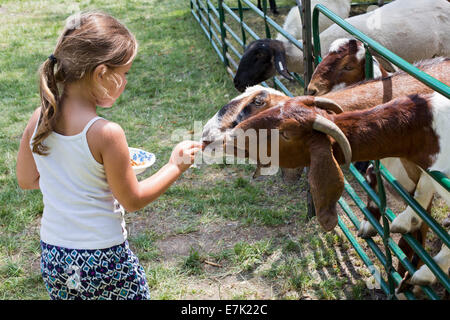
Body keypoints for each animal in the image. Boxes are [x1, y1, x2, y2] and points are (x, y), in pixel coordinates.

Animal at [223, 92, 448, 284]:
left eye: (285, 133)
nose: (231, 135)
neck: (425, 128)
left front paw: (426, 273)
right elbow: (421, 187)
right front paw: (408, 220)